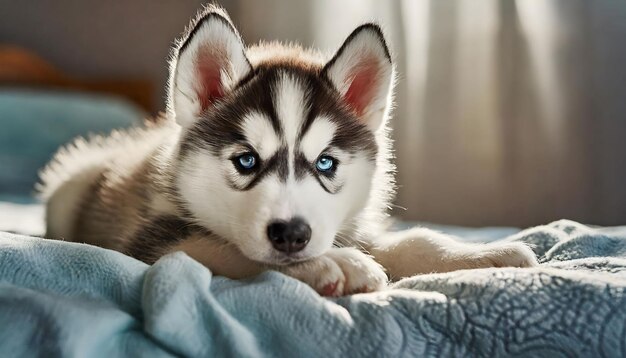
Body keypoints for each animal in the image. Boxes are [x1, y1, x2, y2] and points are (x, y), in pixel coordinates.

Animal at [39, 6, 536, 296]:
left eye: (326, 163)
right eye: (246, 160)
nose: (293, 236)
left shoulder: (349, 224)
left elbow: (416, 239)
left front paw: (482, 255)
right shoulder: (154, 240)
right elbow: (229, 248)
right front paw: (330, 263)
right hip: (68, 188)